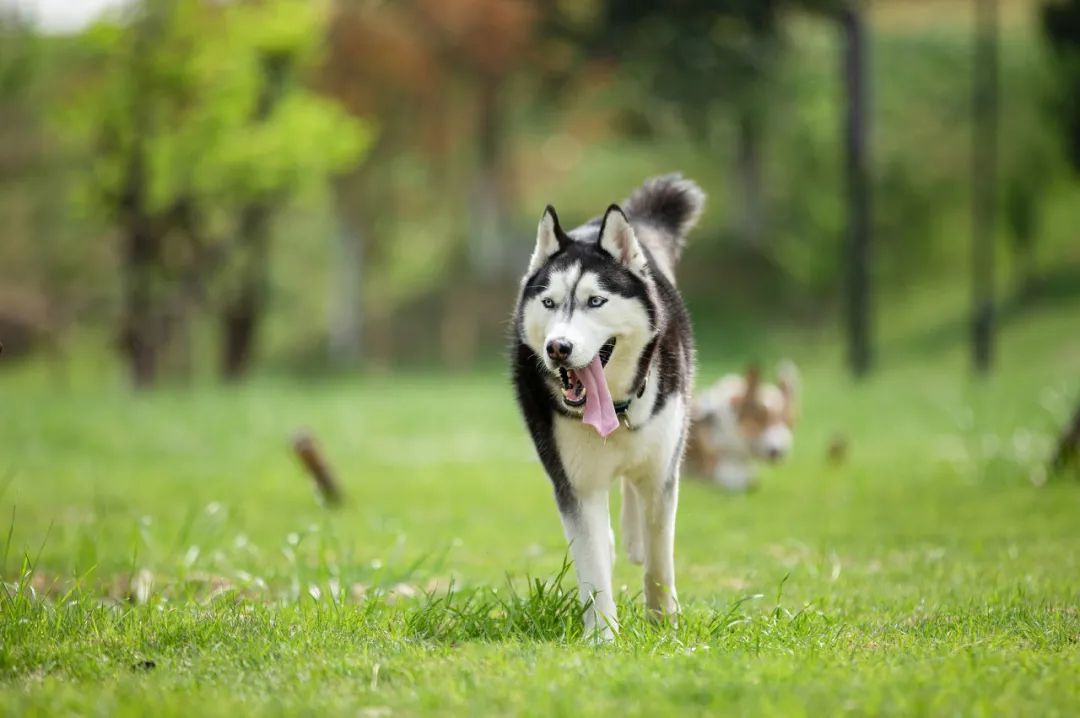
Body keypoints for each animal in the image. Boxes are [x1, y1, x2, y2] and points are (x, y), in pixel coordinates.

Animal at [509, 172, 704, 639]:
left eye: (596, 301)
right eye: (549, 302)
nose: (558, 347)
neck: (616, 411)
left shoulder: (662, 473)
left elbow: (659, 560)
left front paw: (664, 624)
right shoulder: (576, 487)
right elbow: (593, 565)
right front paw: (602, 637)